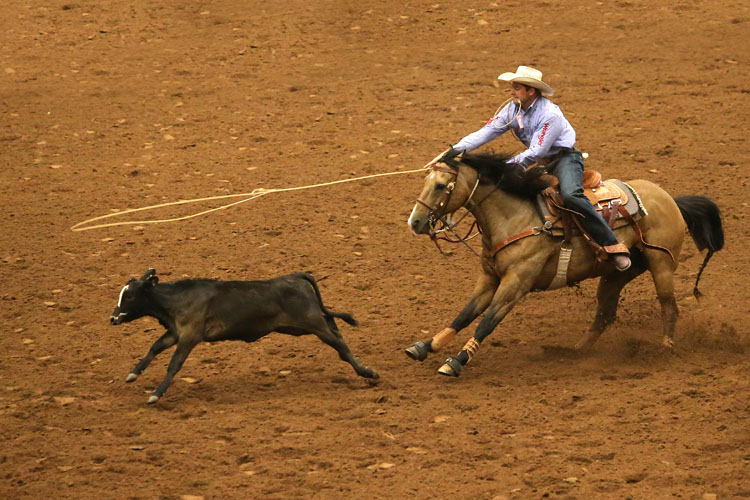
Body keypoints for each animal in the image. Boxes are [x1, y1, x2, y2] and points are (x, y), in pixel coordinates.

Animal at [110, 268, 378, 404]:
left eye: (130, 295)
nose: (113, 318)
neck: (176, 300)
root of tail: (295, 276)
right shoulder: (175, 332)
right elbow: (154, 348)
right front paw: (133, 373)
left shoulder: (189, 336)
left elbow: (174, 364)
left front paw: (156, 394)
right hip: (302, 325)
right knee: (334, 324)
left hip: (312, 323)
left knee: (339, 343)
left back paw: (368, 372)